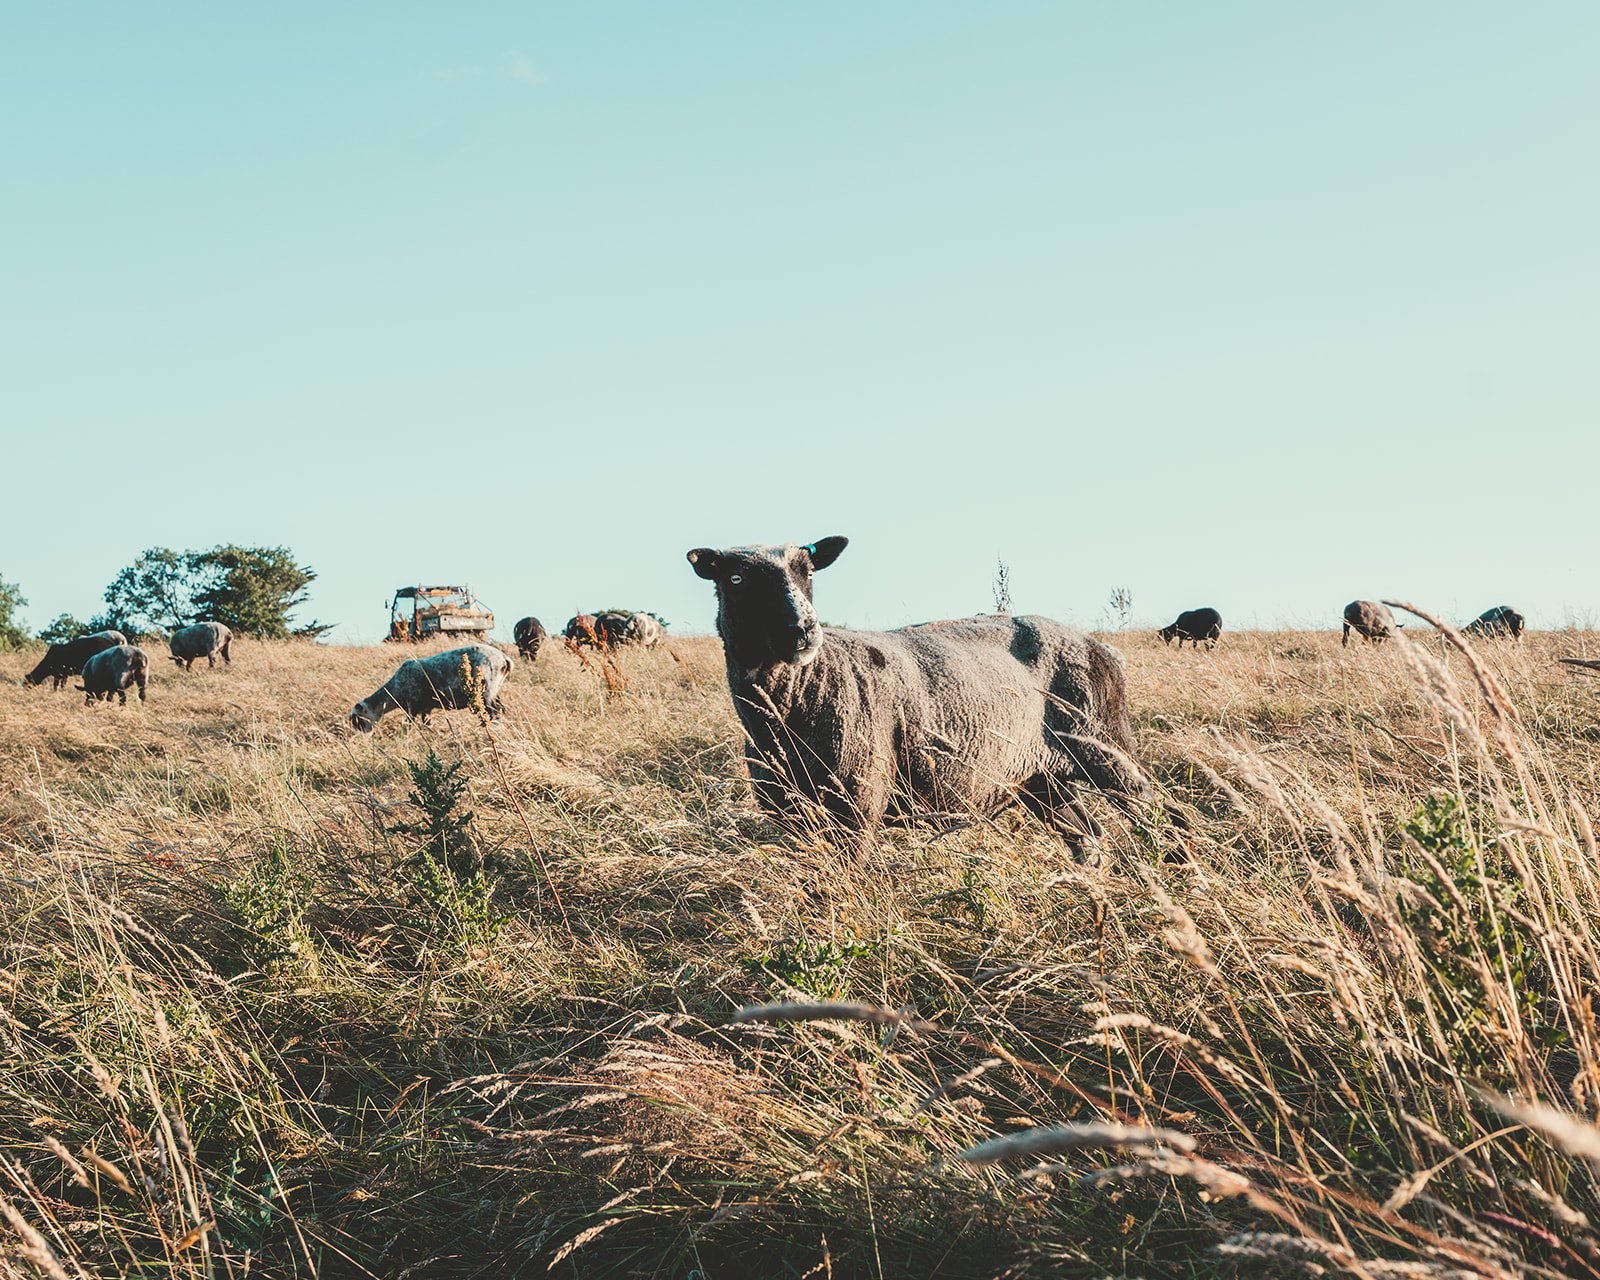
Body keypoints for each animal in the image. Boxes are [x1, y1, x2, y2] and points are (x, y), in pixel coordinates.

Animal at [350, 644, 510, 733]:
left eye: (357, 720)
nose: (358, 737)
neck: (394, 690)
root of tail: (504, 659)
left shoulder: (412, 706)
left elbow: (408, 725)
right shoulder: (425, 709)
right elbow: (428, 724)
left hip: (486, 690)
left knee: (494, 712)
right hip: (495, 689)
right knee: (501, 709)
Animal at [686, 536, 1149, 846]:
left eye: (810, 571)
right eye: (736, 578)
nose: (802, 628)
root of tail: (1100, 646)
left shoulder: (857, 807)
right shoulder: (789, 815)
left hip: (1106, 747)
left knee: (1150, 806)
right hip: (1043, 779)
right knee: (1089, 839)